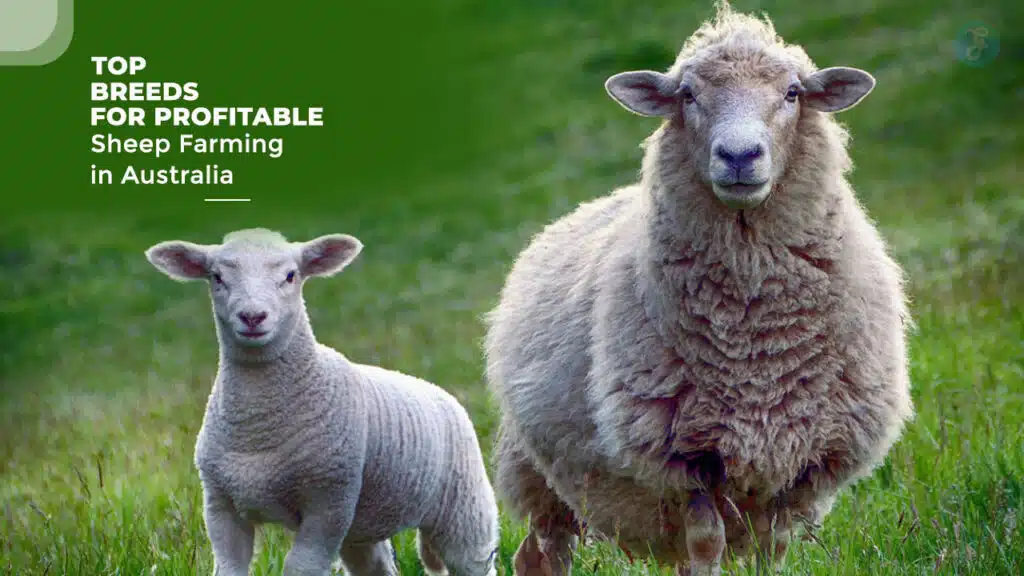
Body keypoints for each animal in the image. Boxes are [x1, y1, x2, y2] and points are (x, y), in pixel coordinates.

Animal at [144, 228, 499, 576]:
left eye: (290, 276)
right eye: (216, 277)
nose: (252, 317)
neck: (257, 427)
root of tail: (440, 392)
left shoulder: (328, 502)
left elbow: (301, 566)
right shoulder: (220, 505)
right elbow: (229, 568)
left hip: (465, 509)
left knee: (474, 560)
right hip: (362, 525)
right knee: (376, 566)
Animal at [482, 2, 913, 574]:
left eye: (793, 92)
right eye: (687, 95)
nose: (739, 155)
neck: (755, 339)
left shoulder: (798, 459)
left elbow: (772, 550)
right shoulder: (684, 459)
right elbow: (707, 543)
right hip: (537, 473)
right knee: (542, 553)